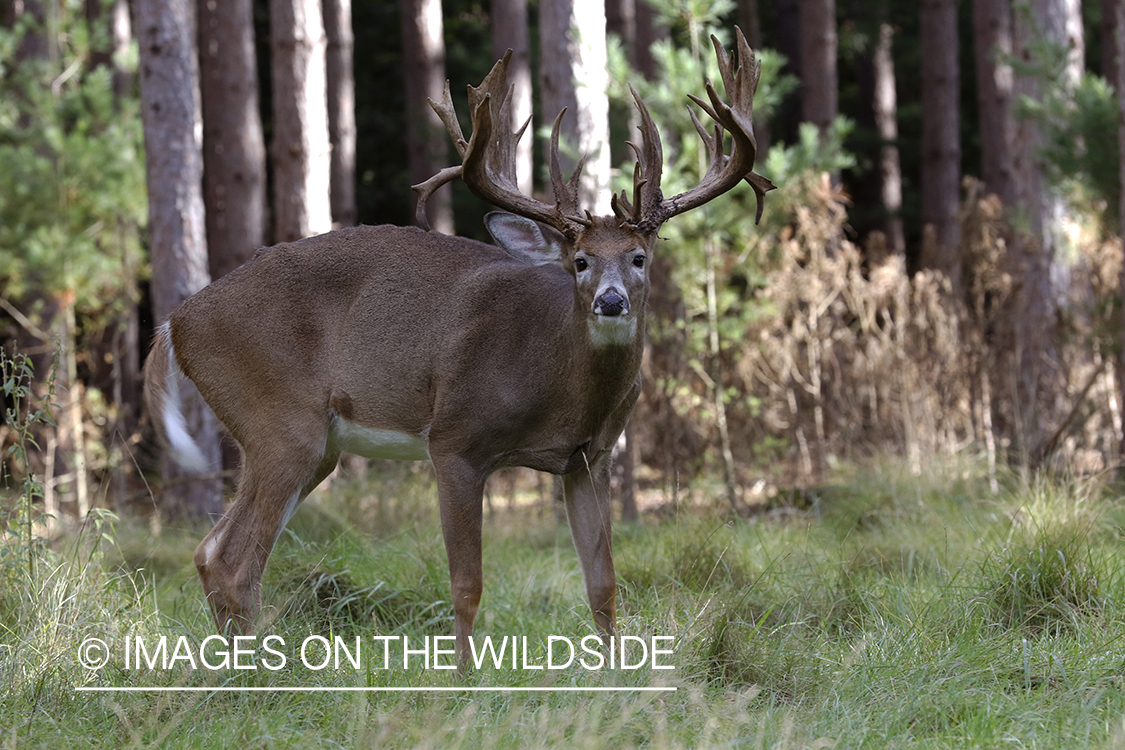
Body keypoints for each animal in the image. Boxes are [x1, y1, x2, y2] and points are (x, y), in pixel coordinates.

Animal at [142, 27, 774, 661]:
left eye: (639, 257)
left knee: (208, 551)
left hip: (316, 445)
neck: (560, 388)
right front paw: (464, 675)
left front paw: (618, 671)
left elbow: (604, 585)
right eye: (580, 261)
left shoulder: (588, 458)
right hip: (279, 421)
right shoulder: (455, 440)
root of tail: (176, 322)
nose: (611, 301)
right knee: (234, 561)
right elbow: (467, 584)